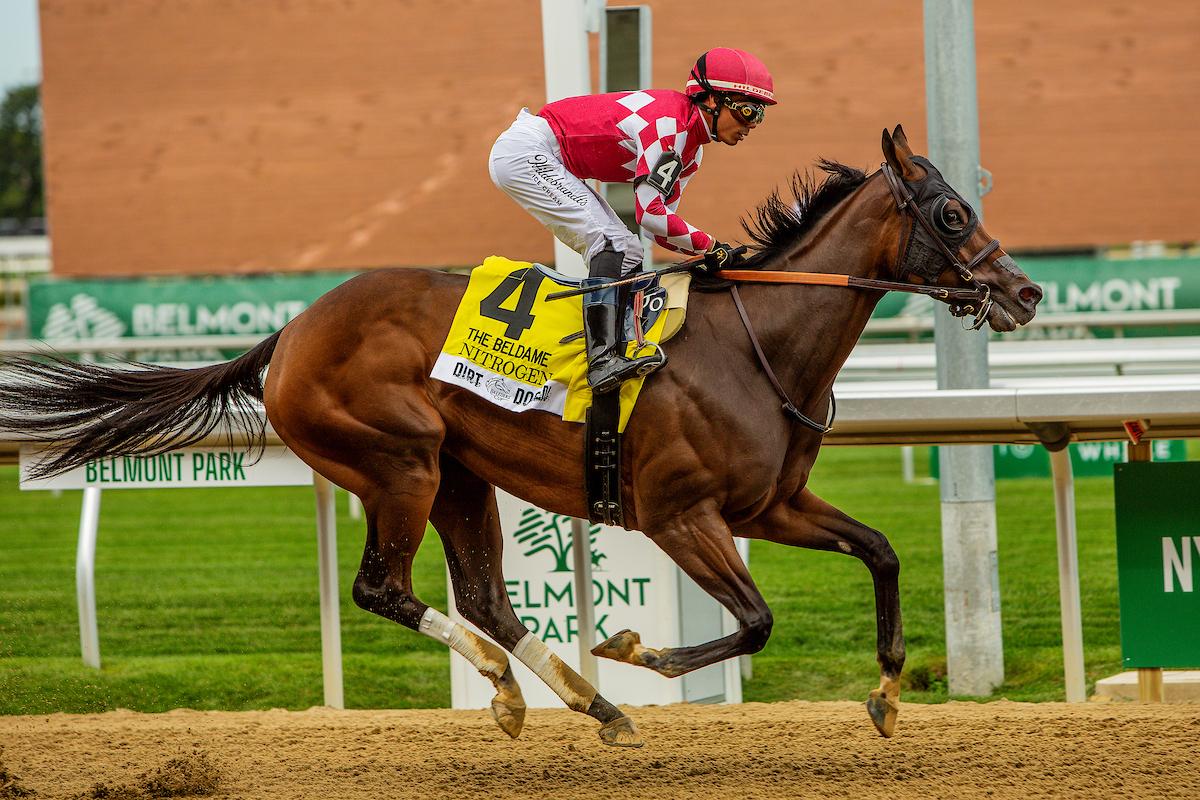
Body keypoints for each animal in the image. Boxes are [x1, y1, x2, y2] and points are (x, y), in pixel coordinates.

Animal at [0, 125, 1042, 747]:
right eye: (952, 212)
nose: (1026, 292)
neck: (760, 347)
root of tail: (288, 334)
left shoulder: (771, 505)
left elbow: (883, 551)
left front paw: (888, 695)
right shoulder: (680, 516)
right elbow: (755, 621)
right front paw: (637, 650)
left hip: (463, 474)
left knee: (487, 598)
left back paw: (583, 700)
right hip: (400, 462)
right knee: (385, 588)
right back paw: (524, 685)